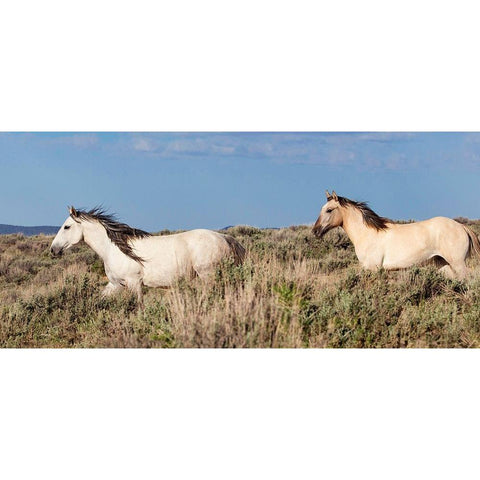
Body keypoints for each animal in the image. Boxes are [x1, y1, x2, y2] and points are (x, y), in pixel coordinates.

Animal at [50, 205, 246, 304]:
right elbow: (101, 298)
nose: (53, 250)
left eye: (66, 227)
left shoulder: (134, 282)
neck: (114, 249)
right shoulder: (116, 284)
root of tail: (225, 237)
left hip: (208, 275)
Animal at [312, 191, 480, 280]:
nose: (315, 231)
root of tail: (461, 226)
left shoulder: (373, 268)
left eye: (329, 210)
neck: (367, 234)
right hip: (443, 264)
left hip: (458, 263)